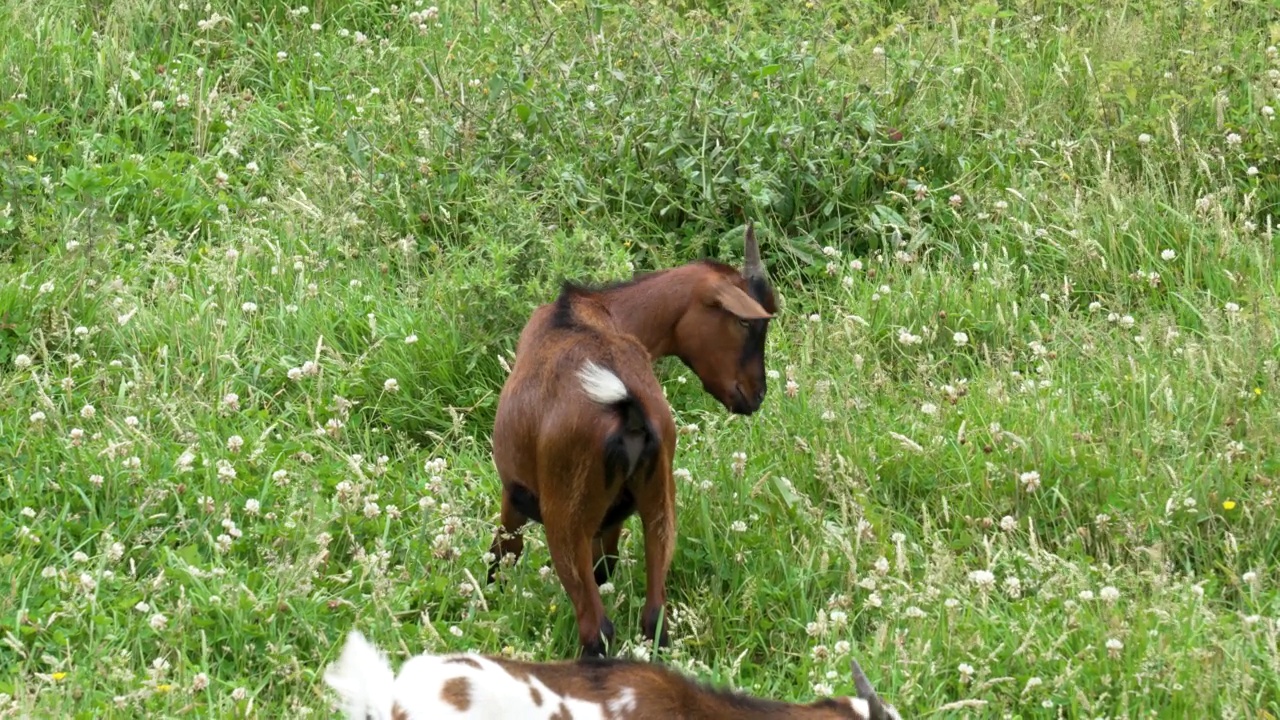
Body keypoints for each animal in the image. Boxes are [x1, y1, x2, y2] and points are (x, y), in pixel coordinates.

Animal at [483, 224, 773, 655]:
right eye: (745, 323)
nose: (756, 395)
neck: (598, 311)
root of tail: (629, 409)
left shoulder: (515, 494)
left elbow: (502, 557)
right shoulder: (614, 517)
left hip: (565, 516)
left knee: (597, 628)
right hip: (659, 500)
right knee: (653, 616)